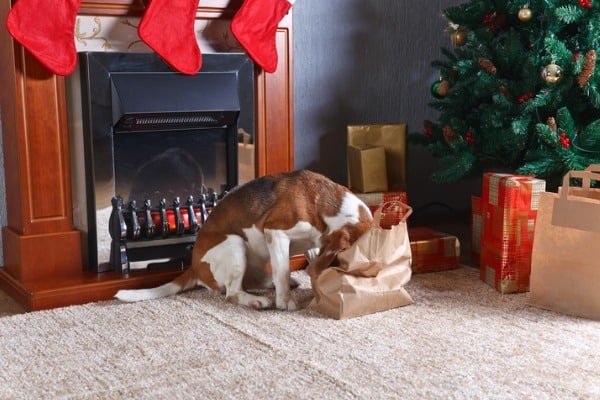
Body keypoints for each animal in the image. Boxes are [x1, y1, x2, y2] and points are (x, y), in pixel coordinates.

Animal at [115, 169, 372, 310]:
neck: (325, 205)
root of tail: (195, 266)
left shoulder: (313, 242)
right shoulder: (275, 231)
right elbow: (282, 270)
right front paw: (285, 303)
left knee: (256, 281)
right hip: (234, 244)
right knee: (232, 293)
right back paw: (256, 301)